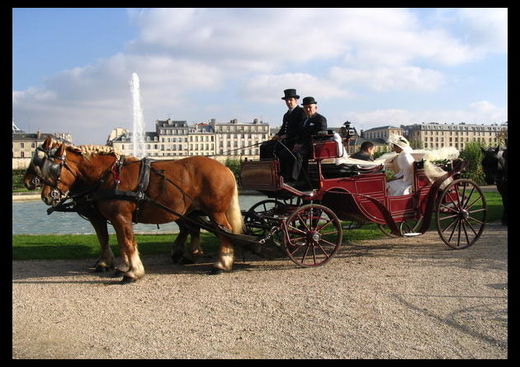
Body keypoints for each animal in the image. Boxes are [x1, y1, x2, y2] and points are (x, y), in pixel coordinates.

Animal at [24, 137, 244, 284]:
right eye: (38, 163)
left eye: (50, 167)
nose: (46, 196)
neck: (107, 176)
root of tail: (225, 167)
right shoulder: (108, 218)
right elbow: (114, 241)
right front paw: (119, 267)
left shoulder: (118, 217)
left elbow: (126, 243)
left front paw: (132, 272)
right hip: (191, 212)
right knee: (194, 229)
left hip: (215, 212)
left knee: (224, 232)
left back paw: (222, 264)